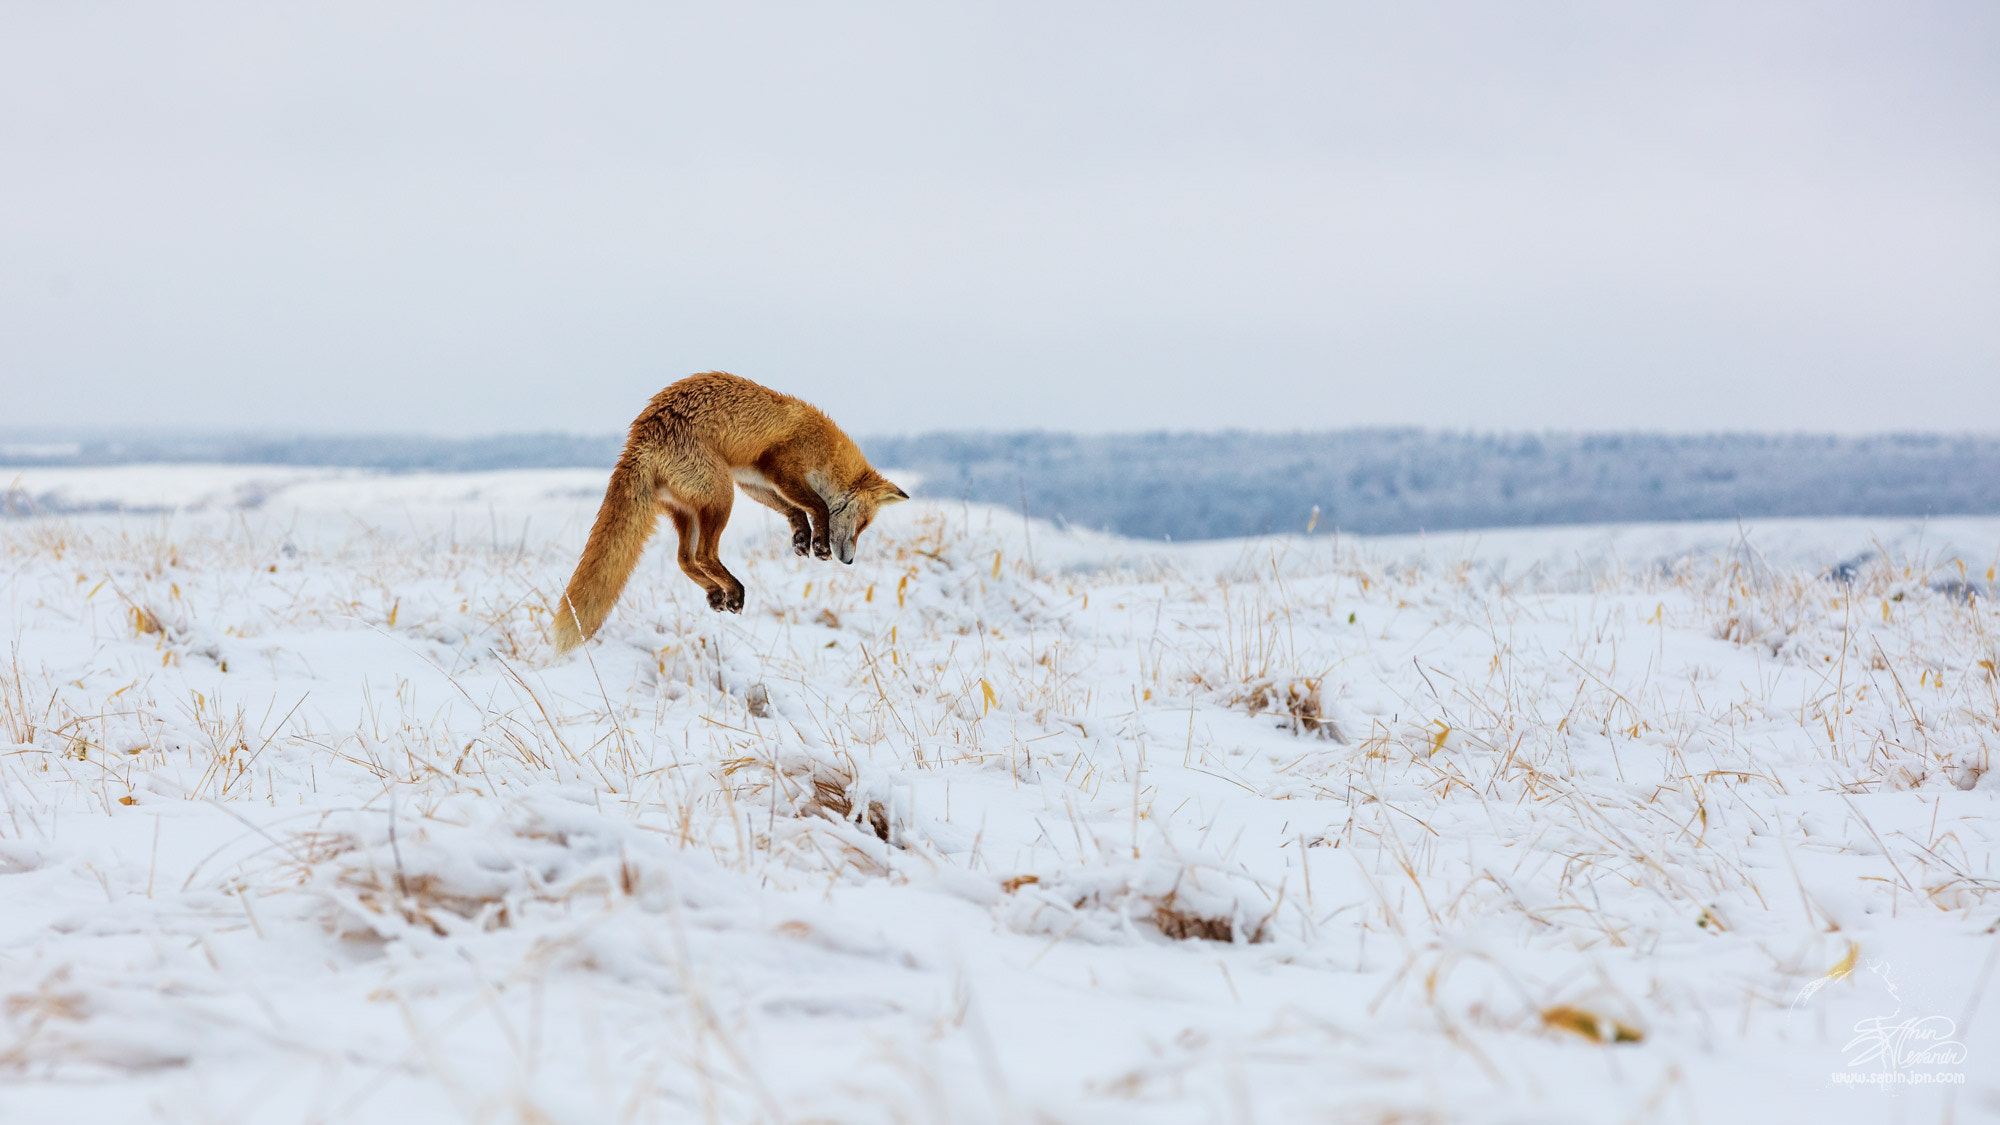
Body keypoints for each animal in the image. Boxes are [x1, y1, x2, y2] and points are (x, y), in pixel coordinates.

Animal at [551, 371, 908, 653]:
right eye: (863, 524)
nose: (849, 561)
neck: (826, 448)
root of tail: (641, 434)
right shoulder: (779, 466)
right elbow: (816, 504)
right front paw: (819, 542)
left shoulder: (755, 481)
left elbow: (793, 509)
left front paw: (802, 537)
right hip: (722, 497)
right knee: (704, 555)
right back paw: (734, 590)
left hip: (692, 509)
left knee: (685, 559)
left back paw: (716, 592)